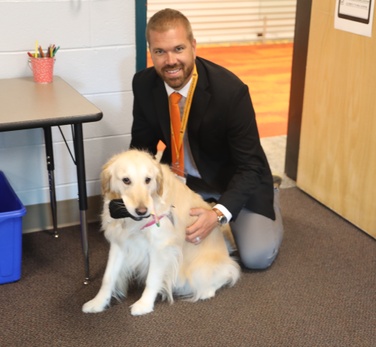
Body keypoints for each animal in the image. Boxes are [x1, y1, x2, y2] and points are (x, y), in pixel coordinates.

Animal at [82, 148, 241, 316]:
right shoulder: (119, 243)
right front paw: (98, 302)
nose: (142, 211)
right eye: (126, 180)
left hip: (198, 271)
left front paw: (144, 304)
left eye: (148, 180)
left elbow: (152, 279)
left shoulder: (160, 248)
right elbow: (108, 277)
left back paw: (206, 291)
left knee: (228, 273)